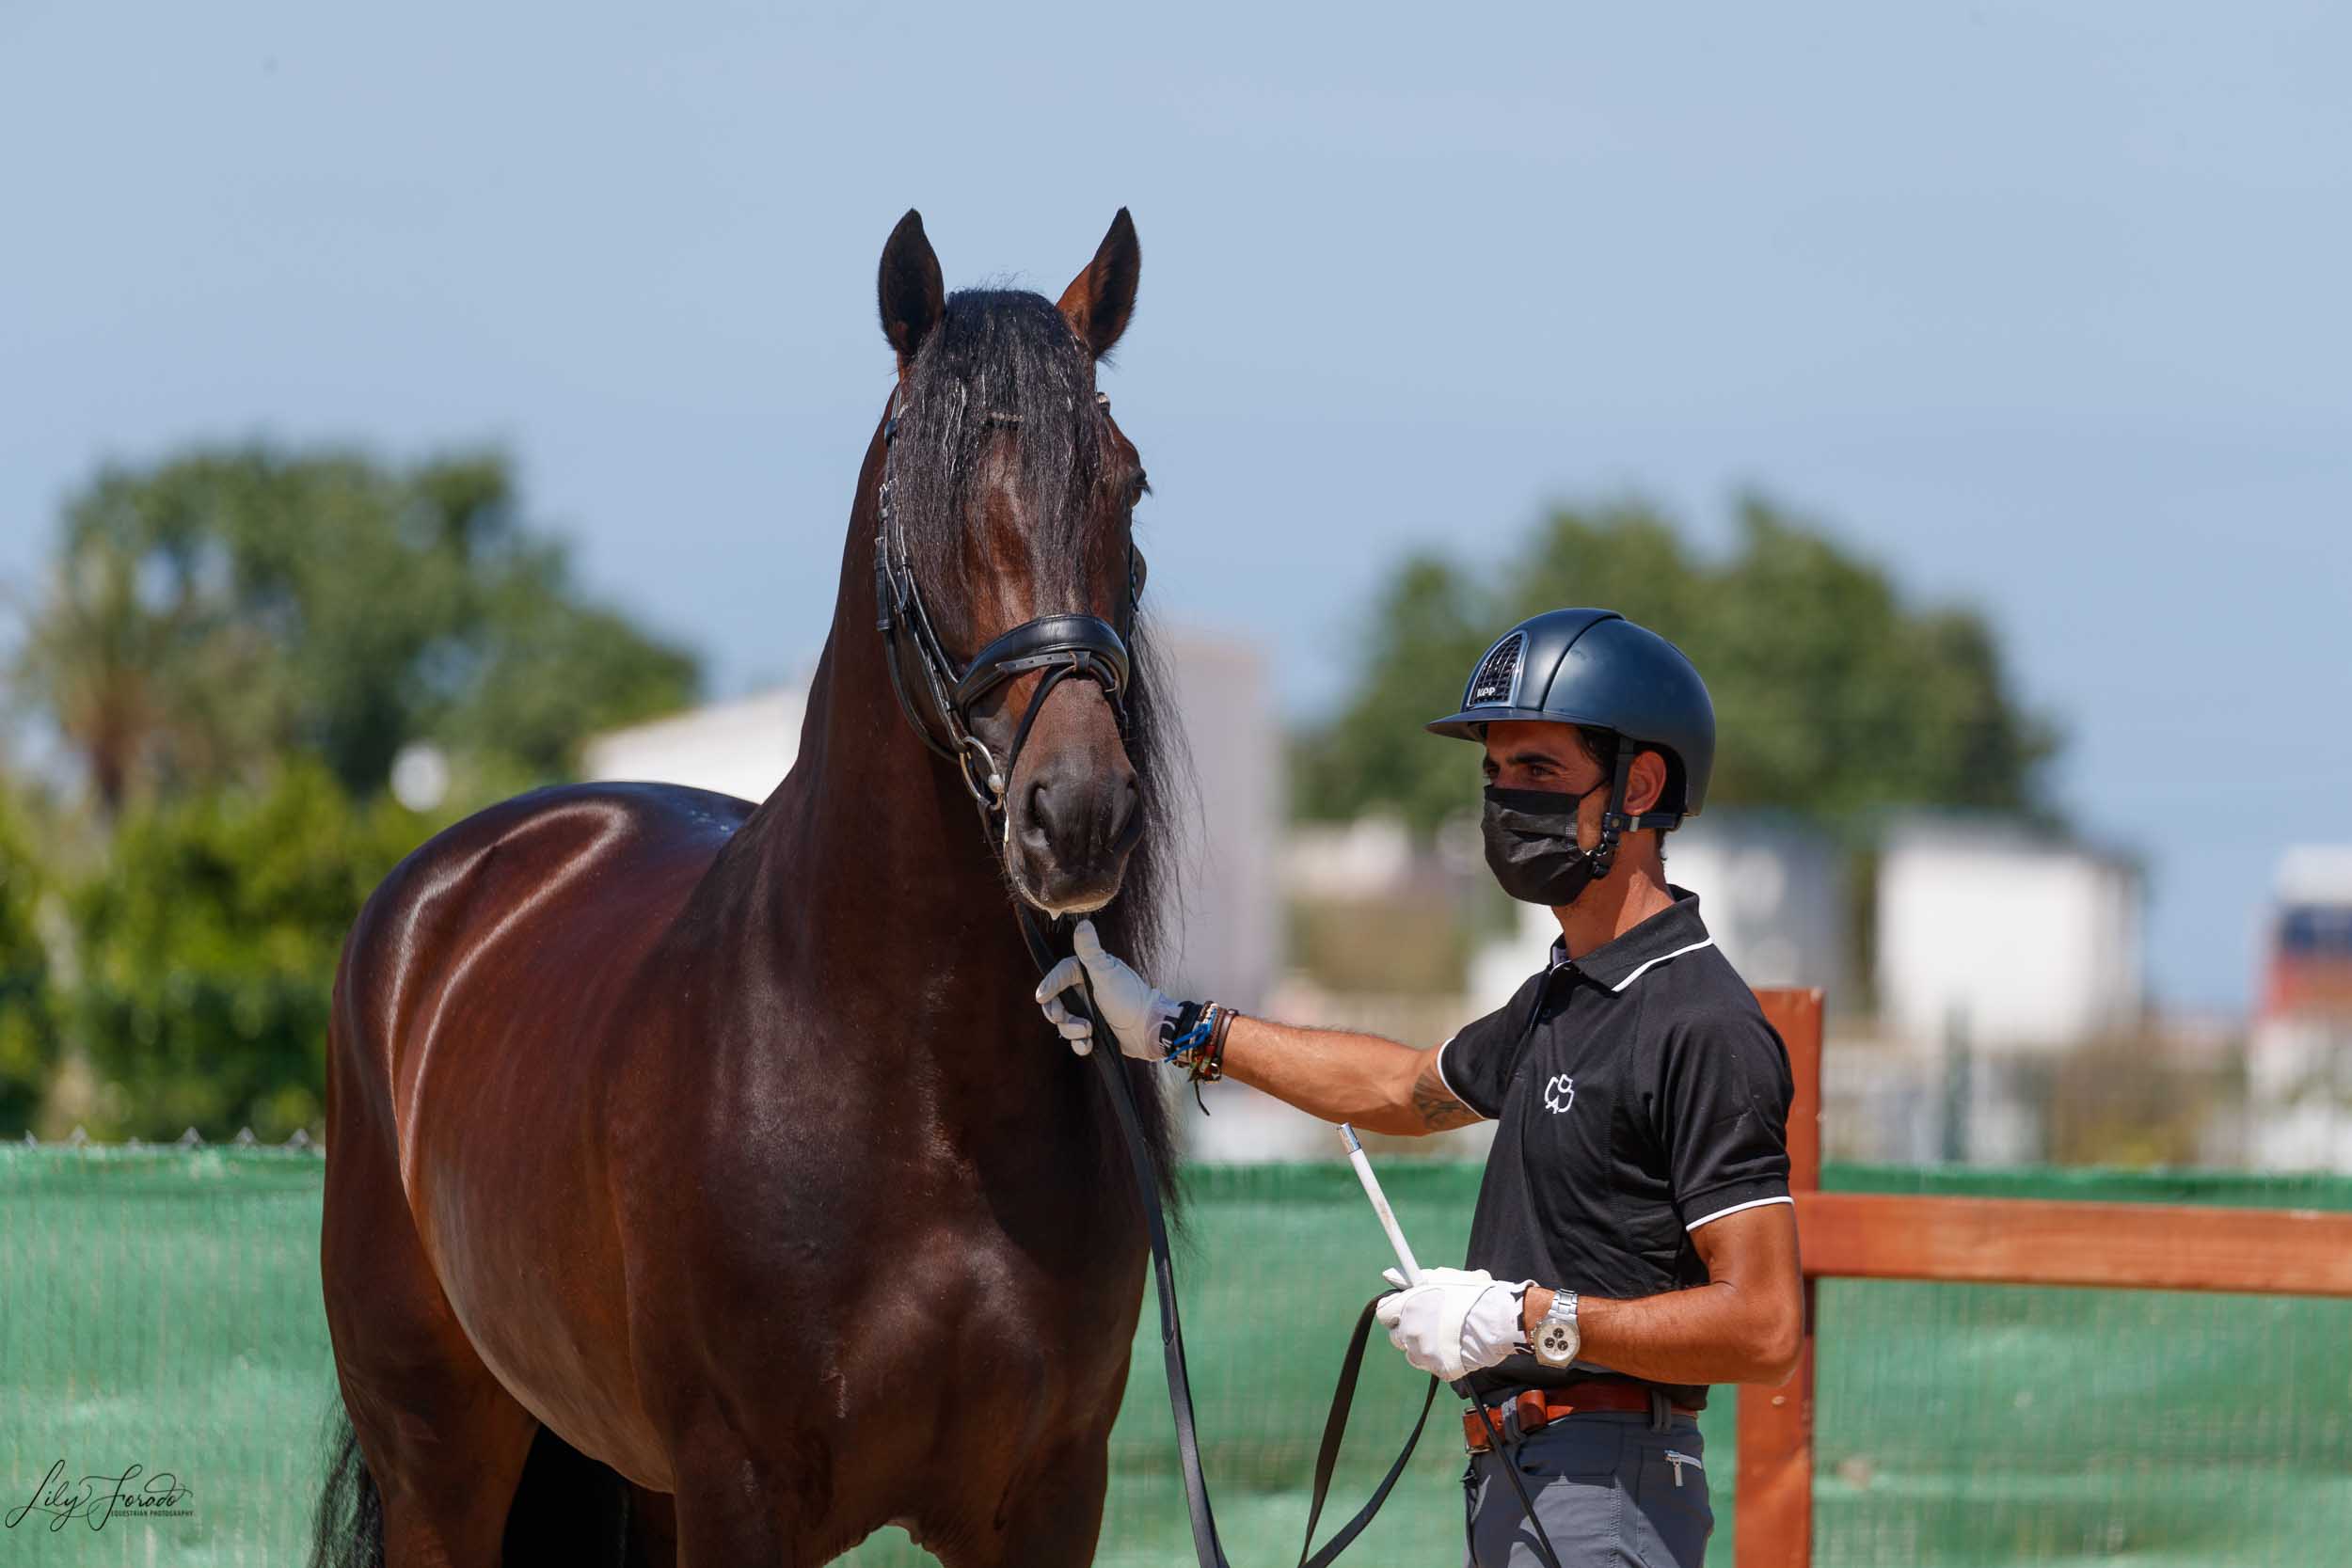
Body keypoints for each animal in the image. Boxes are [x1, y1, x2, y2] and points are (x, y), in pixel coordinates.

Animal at [315, 211, 1185, 1568]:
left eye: (1126, 483)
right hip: (440, 1468)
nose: (1080, 813)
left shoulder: (1049, 1496)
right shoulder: (741, 1488)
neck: (917, 1087)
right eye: (921, 496)